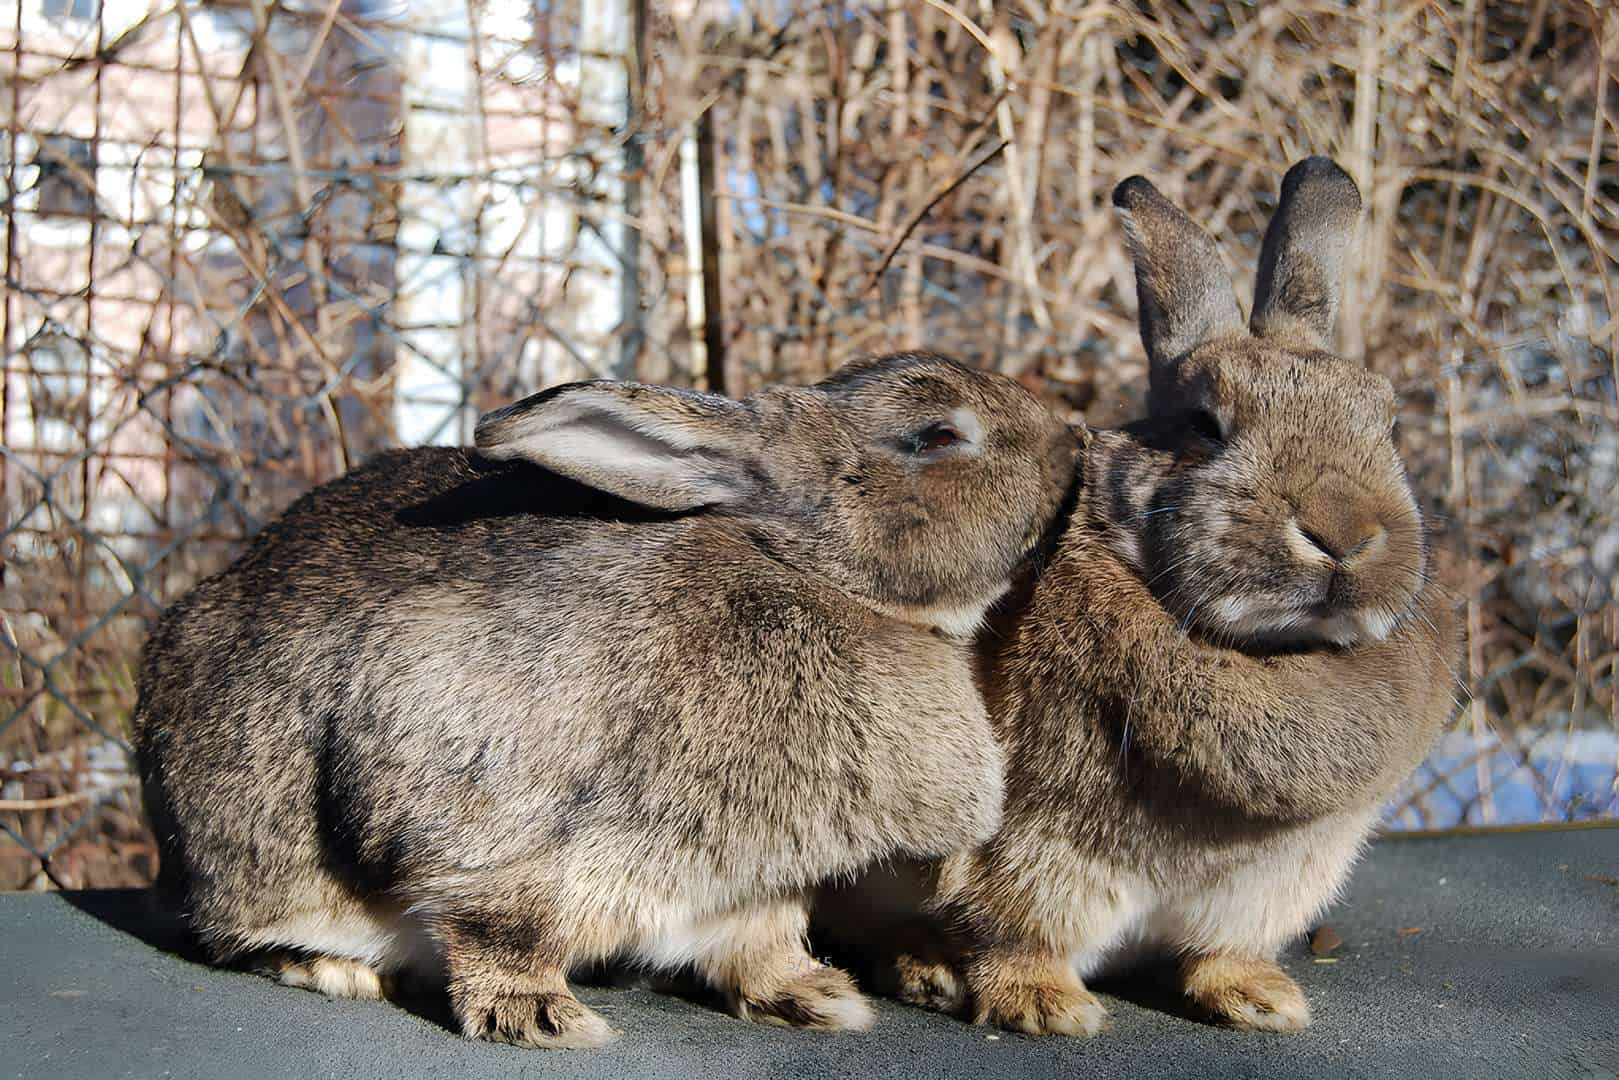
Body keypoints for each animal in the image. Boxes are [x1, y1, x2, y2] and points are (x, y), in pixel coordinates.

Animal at [132, 352, 1081, 1049]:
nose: (1072, 446)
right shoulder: (494, 832)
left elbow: (761, 943)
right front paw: (541, 1018)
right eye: (936, 435)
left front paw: (816, 999)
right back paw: (339, 971)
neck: (811, 575)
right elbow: (496, 930)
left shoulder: (753, 883)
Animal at [815, 160, 1463, 1036]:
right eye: (1204, 424)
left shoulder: (1270, 881)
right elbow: (1012, 928)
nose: (1342, 534)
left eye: (1386, 422)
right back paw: (927, 972)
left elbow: (1220, 949)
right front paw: (1045, 1006)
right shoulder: (1038, 851)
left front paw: (1261, 999)